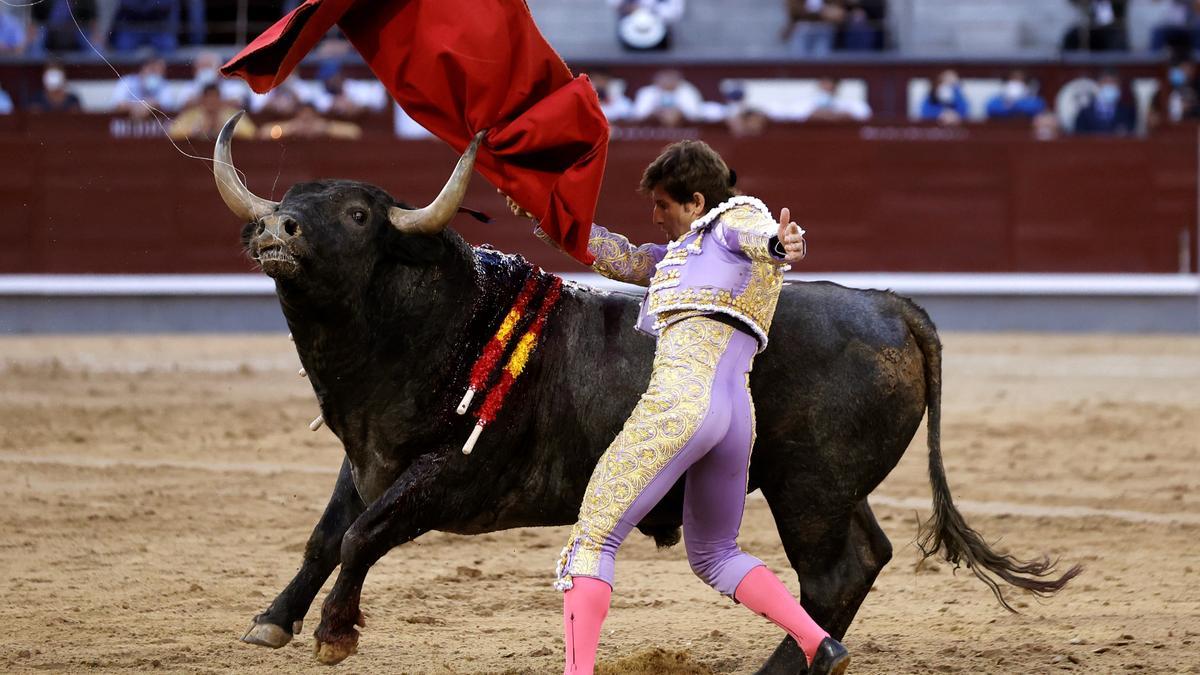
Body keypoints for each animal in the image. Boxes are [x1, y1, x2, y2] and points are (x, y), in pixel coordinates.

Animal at [211, 112, 1084, 667]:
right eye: (291, 199)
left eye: (359, 213)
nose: (276, 229)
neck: (444, 322)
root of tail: (890, 305)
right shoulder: (369, 459)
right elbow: (326, 534)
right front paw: (272, 621)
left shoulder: (451, 476)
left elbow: (361, 537)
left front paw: (335, 633)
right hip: (828, 487)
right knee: (864, 556)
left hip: (809, 488)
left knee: (836, 570)